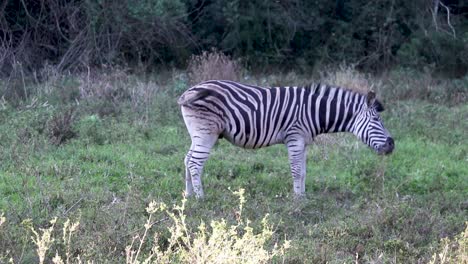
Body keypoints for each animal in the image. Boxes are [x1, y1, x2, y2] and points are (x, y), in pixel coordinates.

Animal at [177, 80, 394, 198]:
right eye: (377, 120)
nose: (392, 145)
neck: (315, 111)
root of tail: (188, 92)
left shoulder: (304, 142)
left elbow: (304, 172)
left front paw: (304, 197)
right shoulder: (295, 138)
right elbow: (297, 171)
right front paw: (297, 201)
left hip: (197, 133)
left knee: (187, 159)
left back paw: (188, 196)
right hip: (207, 132)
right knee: (195, 162)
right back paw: (201, 198)